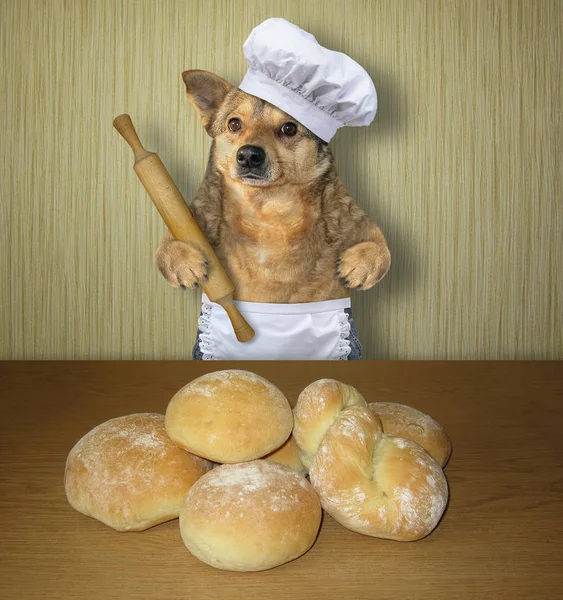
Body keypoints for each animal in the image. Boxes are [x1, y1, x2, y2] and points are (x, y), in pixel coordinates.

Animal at [154, 69, 392, 350]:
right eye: (234, 124)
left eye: (289, 128)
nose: (248, 155)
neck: (267, 212)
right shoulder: (193, 216)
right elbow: (165, 245)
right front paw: (183, 263)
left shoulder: (356, 220)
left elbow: (382, 248)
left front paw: (359, 265)